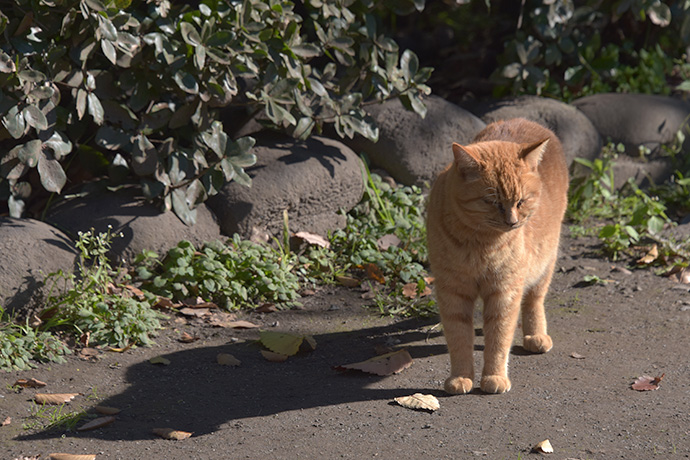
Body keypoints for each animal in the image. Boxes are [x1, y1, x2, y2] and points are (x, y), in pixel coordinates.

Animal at [428, 117, 568, 394]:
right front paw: (461, 377)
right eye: (492, 202)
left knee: (534, 300)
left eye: (521, 201)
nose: (512, 222)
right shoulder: (452, 290)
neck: (481, 244)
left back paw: (535, 335)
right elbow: (459, 337)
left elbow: (499, 336)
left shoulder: (505, 291)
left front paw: (494, 376)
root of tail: (525, 119)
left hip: (545, 261)